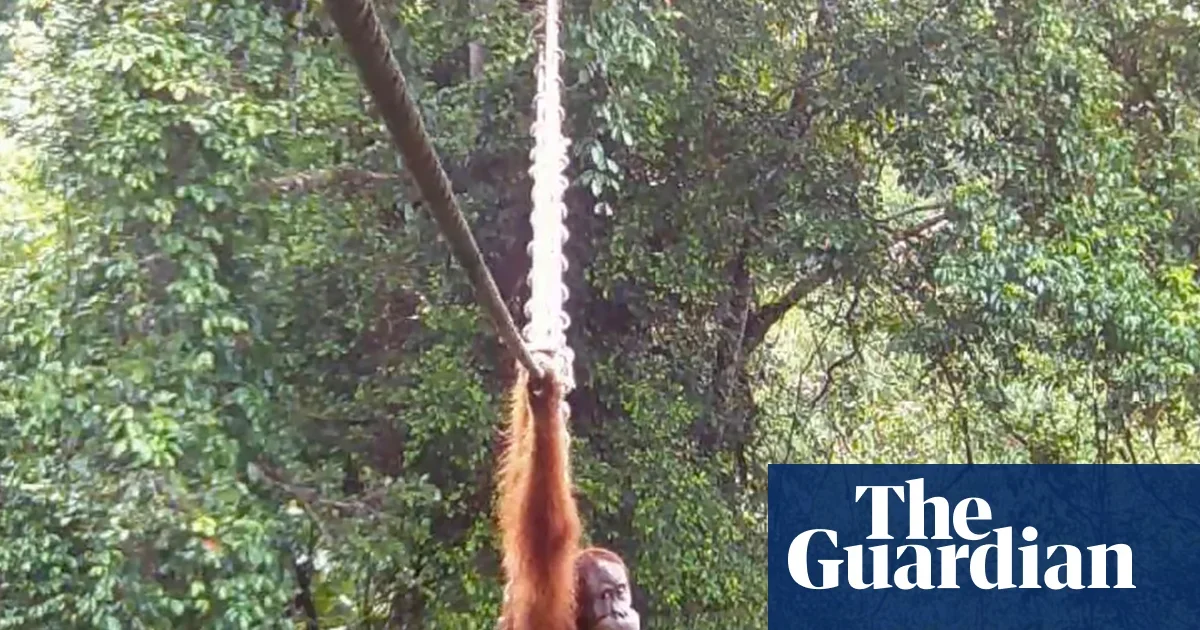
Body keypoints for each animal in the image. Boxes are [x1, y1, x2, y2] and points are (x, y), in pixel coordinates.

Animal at [496, 364, 641, 630]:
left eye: (621, 591)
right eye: (605, 595)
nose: (621, 612)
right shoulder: (549, 599)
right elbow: (547, 527)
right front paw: (545, 402)